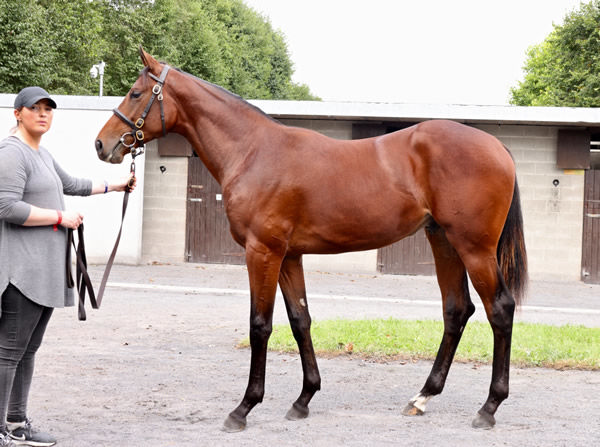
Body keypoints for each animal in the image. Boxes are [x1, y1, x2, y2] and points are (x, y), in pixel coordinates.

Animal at [94, 49, 524, 434]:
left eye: (135, 92)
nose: (101, 144)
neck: (253, 152)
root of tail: (497, 146)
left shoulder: (262, 252)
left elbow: (260, 325)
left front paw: (244, 408)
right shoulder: (289, 256)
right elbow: (300, 320)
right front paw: (303, 399)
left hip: (474, 248)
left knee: (499, 310)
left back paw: (489, 407)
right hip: (444, 242)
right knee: (457, 310)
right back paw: (422, 397)